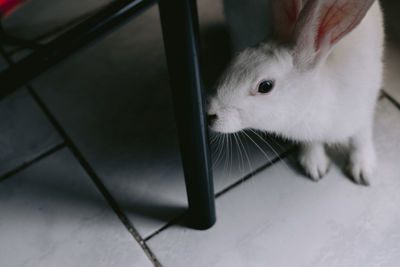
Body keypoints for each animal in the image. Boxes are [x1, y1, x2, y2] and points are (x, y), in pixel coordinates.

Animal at [206, 0, 384, 185]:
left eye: (265, 86)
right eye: (237, 58)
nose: (210, 114)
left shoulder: (364, 109)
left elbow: (361, 138)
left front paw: (362, 171)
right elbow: (313, 143)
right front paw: (315, 166)